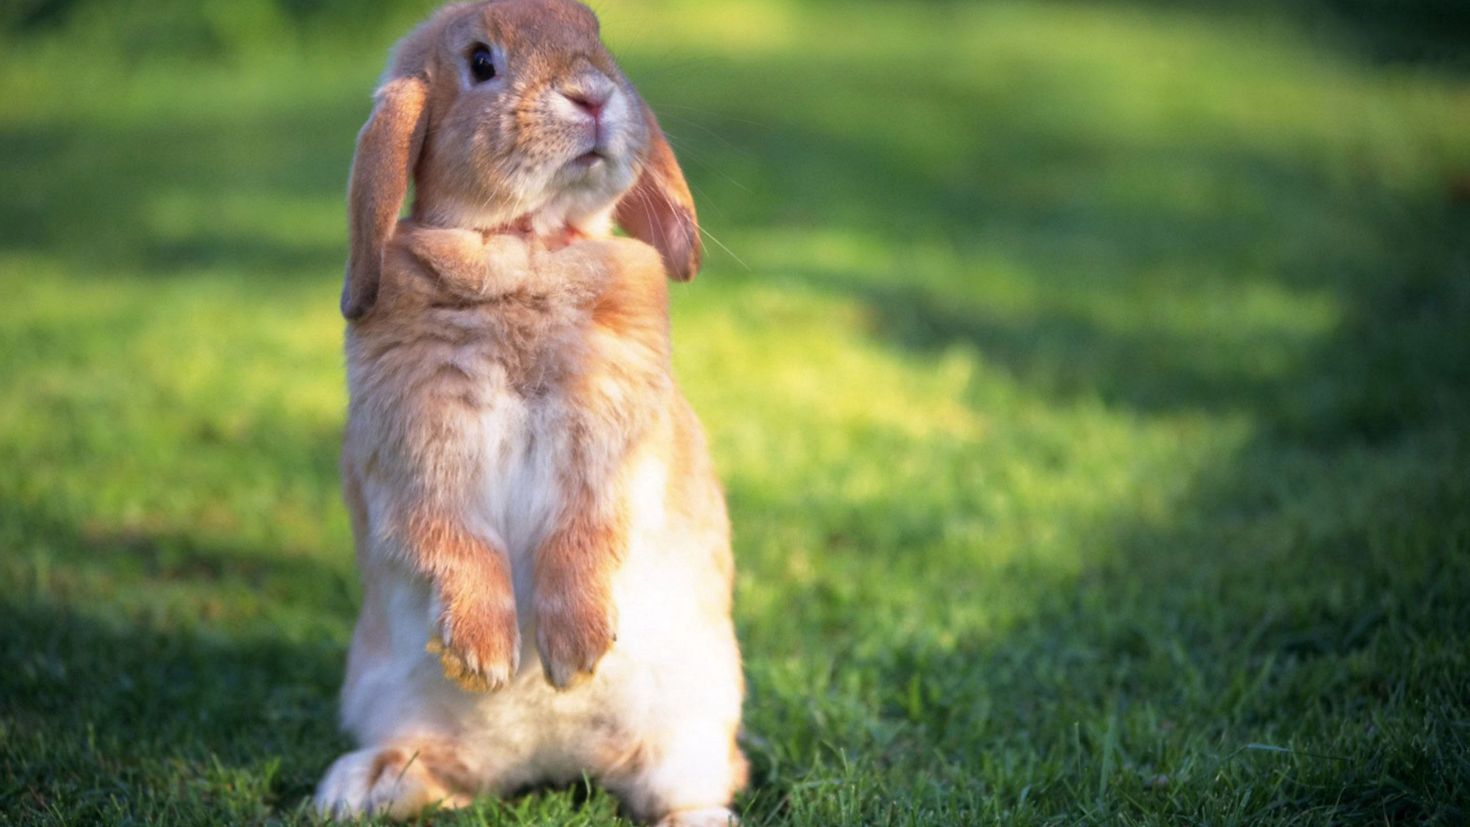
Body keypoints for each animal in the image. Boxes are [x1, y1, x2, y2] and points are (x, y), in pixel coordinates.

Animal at [311, 3, 746, 822]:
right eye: (481, 61)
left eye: (597, 32)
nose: (593, 95)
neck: (526, 246)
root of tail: (548, 761)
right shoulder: (420, 453)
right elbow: (455, 538)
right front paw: (485, 657)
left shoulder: (609, 448)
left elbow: (583, 533)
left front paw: (574, 655)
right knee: (444, 772)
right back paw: (358, 785)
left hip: (694, 725)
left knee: (696, 784)